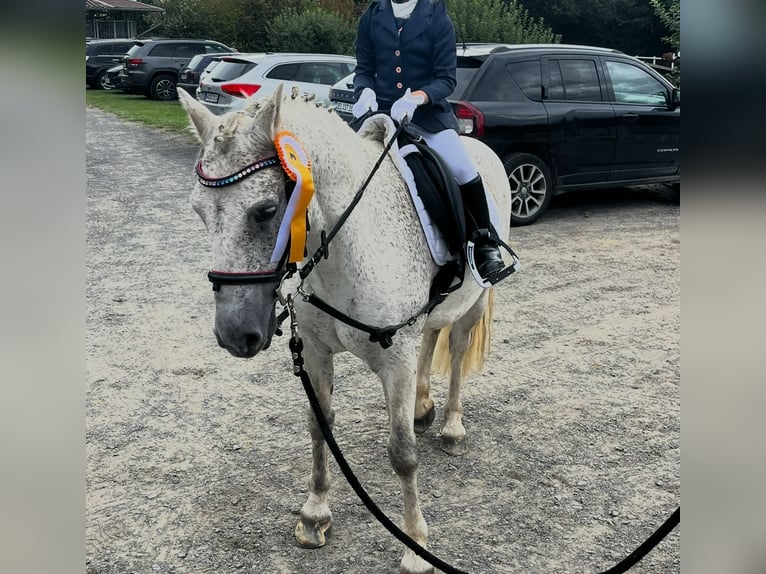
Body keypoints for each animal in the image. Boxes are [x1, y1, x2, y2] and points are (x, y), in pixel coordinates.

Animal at [177, 84, 512, 574]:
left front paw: (415, 545)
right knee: (431, 336)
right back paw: (423, 405)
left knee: (455, 345)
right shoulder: (316, 352)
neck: (345, 248)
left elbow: (402, 454)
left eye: (266, 210)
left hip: (472, 303)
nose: (235, 336)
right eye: (200, 212)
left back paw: (452, 425)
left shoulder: (395, 361)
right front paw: (315, 515)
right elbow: (320, 426)